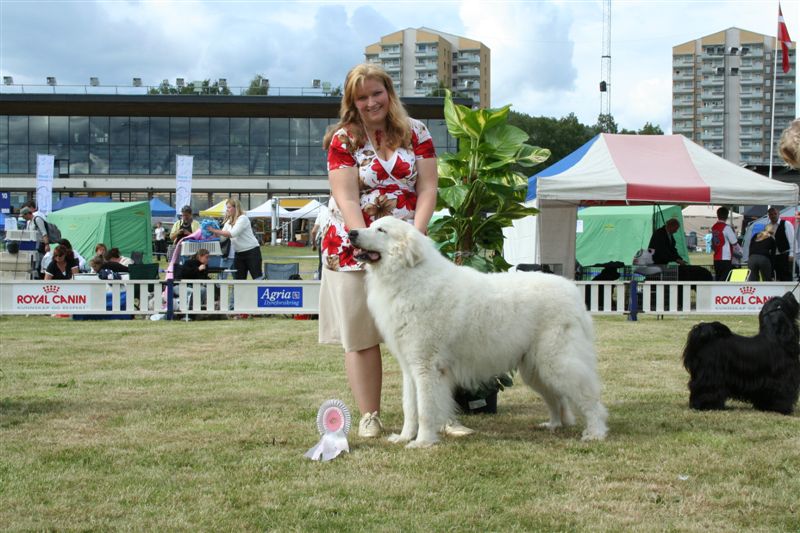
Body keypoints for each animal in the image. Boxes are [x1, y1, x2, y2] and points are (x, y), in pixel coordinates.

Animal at [348, 217, 608, 448]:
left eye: (381, 230)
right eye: (370, 225)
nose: (351, 233)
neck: (409, 276)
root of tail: (573, 291)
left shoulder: (426, 367)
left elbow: (425, 409)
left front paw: (422, 442)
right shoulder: (410, 367)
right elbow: (410, 408)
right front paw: (404, 438)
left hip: (558, 362)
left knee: (589, 397)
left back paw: (595, 432)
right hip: (536, 369)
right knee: (557, 398)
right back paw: (554, 424)